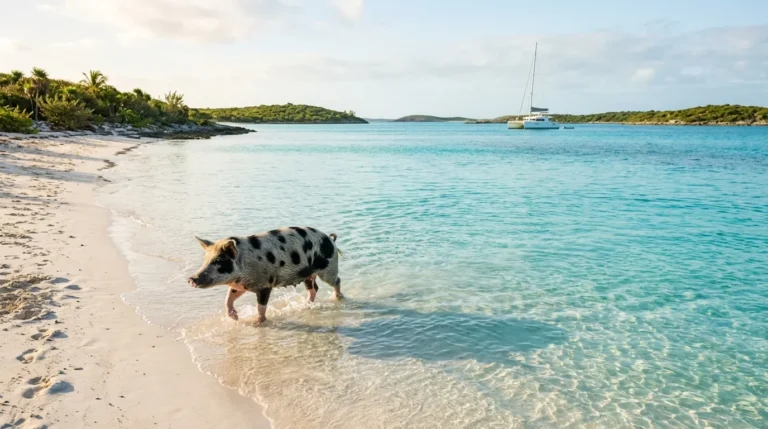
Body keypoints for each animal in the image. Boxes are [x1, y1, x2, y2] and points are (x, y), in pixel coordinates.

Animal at [188, 227, 343, 323]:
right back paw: (306, 304)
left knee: (337, 280)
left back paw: (338, 298)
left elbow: (261, 306)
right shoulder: (240, 285)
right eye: (205, 260)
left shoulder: (265, 285)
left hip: (328, 268)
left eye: (217, 261)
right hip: (307, 274)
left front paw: (257, 322)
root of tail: (330, 240)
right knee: (314, 288)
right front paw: (235, 318)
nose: (191, 278)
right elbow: (228, 298)